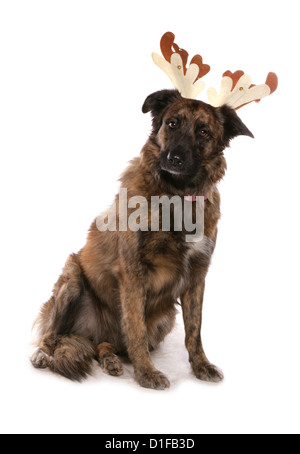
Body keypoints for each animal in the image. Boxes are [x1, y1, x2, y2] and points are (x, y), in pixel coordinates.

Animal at [31, 89, 253, 390]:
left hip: (164, 319)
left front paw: (201, 366)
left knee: (106, 344)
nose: (174, 158)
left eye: (203, 131)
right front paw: (146, 373)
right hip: (72, 278)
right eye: (172, 123)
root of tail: (87, 333)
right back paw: (44, 354)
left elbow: (194, 331)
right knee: (52, 332)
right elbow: (135, 329)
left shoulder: (197, 275)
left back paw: (110, 360)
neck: (176, 195)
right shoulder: (133, 272)